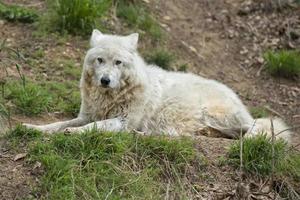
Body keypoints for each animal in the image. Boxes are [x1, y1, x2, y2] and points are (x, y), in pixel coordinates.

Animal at [23, 29, 290, 142]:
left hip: (211, 114)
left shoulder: (123, 120)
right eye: (100, 60)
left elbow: (96, 126)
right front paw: (33, 128)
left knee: (244, 131)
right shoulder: (85, 115)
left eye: (118, 62)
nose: (105, 80)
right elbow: (57, 124)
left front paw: (74, 133)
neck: (110, 98)